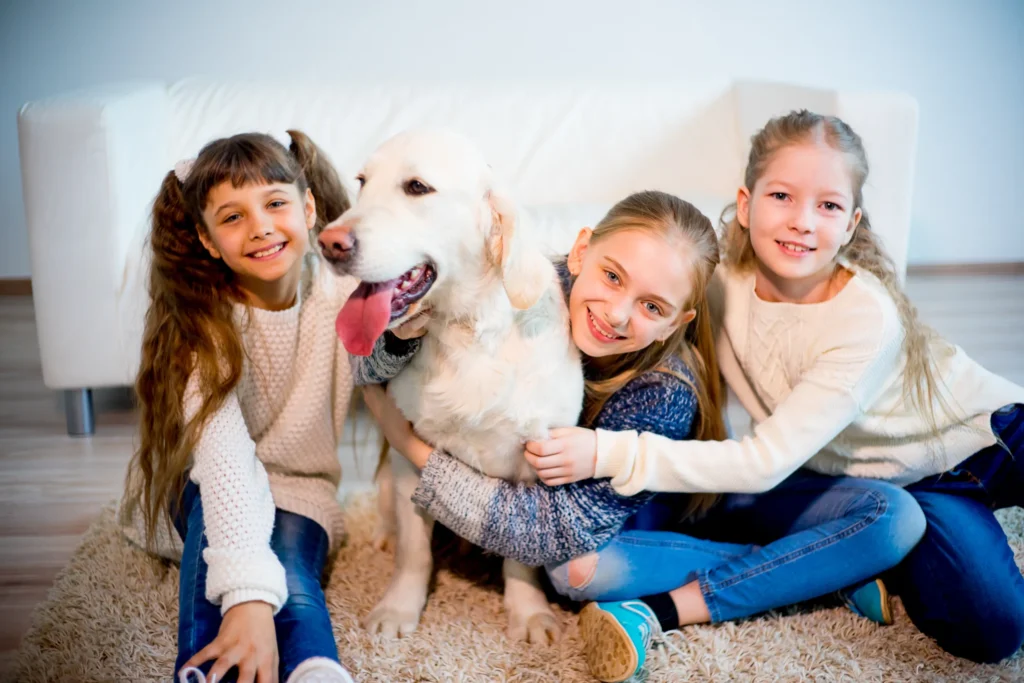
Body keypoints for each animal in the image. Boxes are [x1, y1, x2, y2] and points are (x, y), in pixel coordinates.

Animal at [323, 129, 589, 647]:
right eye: (362, 182)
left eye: (417, 187)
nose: (328, 242)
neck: (468, 332)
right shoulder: (411, 459)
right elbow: (414, 551)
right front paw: (399, 607)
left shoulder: (535, 459)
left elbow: (522, 558)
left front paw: (529, 613)